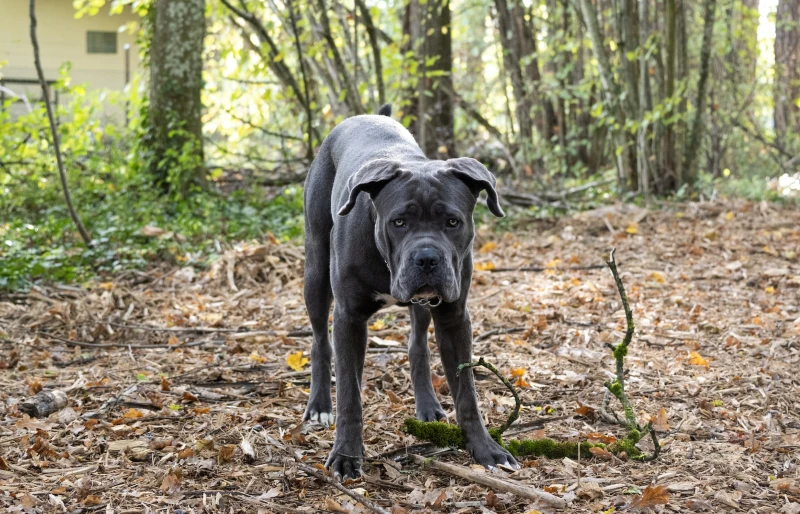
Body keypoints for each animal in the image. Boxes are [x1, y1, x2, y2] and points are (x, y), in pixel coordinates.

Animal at [302, 102, 520, 478]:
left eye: (453, 222)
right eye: (398, 222)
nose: (427, 258)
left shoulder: (454, 317)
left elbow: (467, 392)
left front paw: (485, 448)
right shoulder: (349, 317)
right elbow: (349, 393)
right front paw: (346, 454)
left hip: (422, 305)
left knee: (417, 345)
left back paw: (428, 404)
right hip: (315, 273)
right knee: (320, 341)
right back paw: (319, 405)